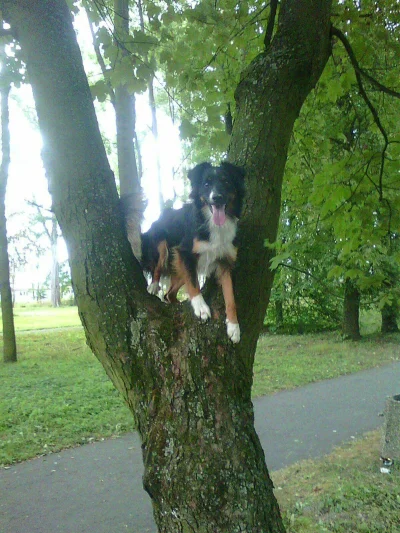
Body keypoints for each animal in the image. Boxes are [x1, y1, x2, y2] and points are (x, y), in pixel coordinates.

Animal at [123, 162, 245, 342]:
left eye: (226, 182)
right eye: (206, 184)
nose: (217, 197)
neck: (213, 224)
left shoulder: (225, 262)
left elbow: (230, 298)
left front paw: (234, 327)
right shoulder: (185, 252)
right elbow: (194, 284)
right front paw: (201, 307)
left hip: (180, 268)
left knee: (169, 294)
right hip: (165, 248)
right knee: (158, 267)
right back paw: (154, 285)